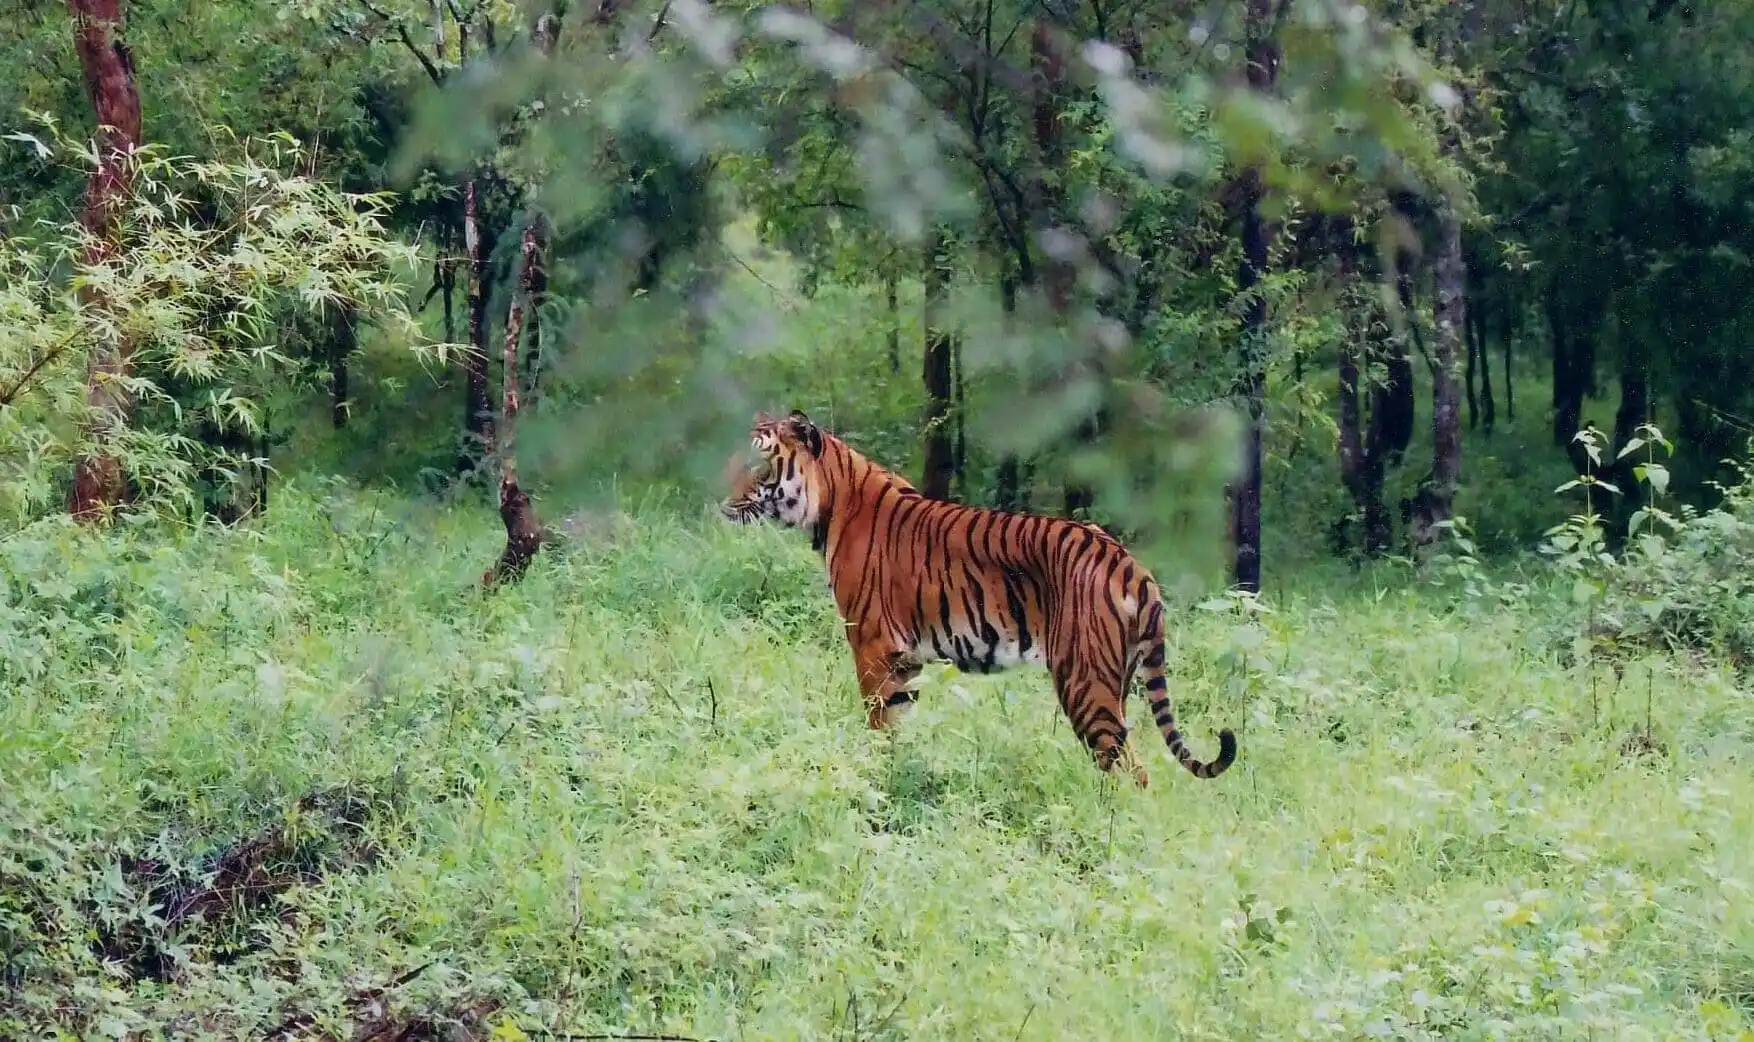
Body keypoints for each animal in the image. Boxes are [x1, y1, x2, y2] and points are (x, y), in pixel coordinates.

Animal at [721, 409, 1237, 787]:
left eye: (760, 464)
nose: (721, 497)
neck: (829, 505)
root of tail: (1131, 565)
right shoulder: (905, 660)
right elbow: (901, 723)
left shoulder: (871, 645)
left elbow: (878, 725)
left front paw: (873, 777)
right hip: (1116, 679)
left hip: (1085, 682)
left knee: (1131, 770)